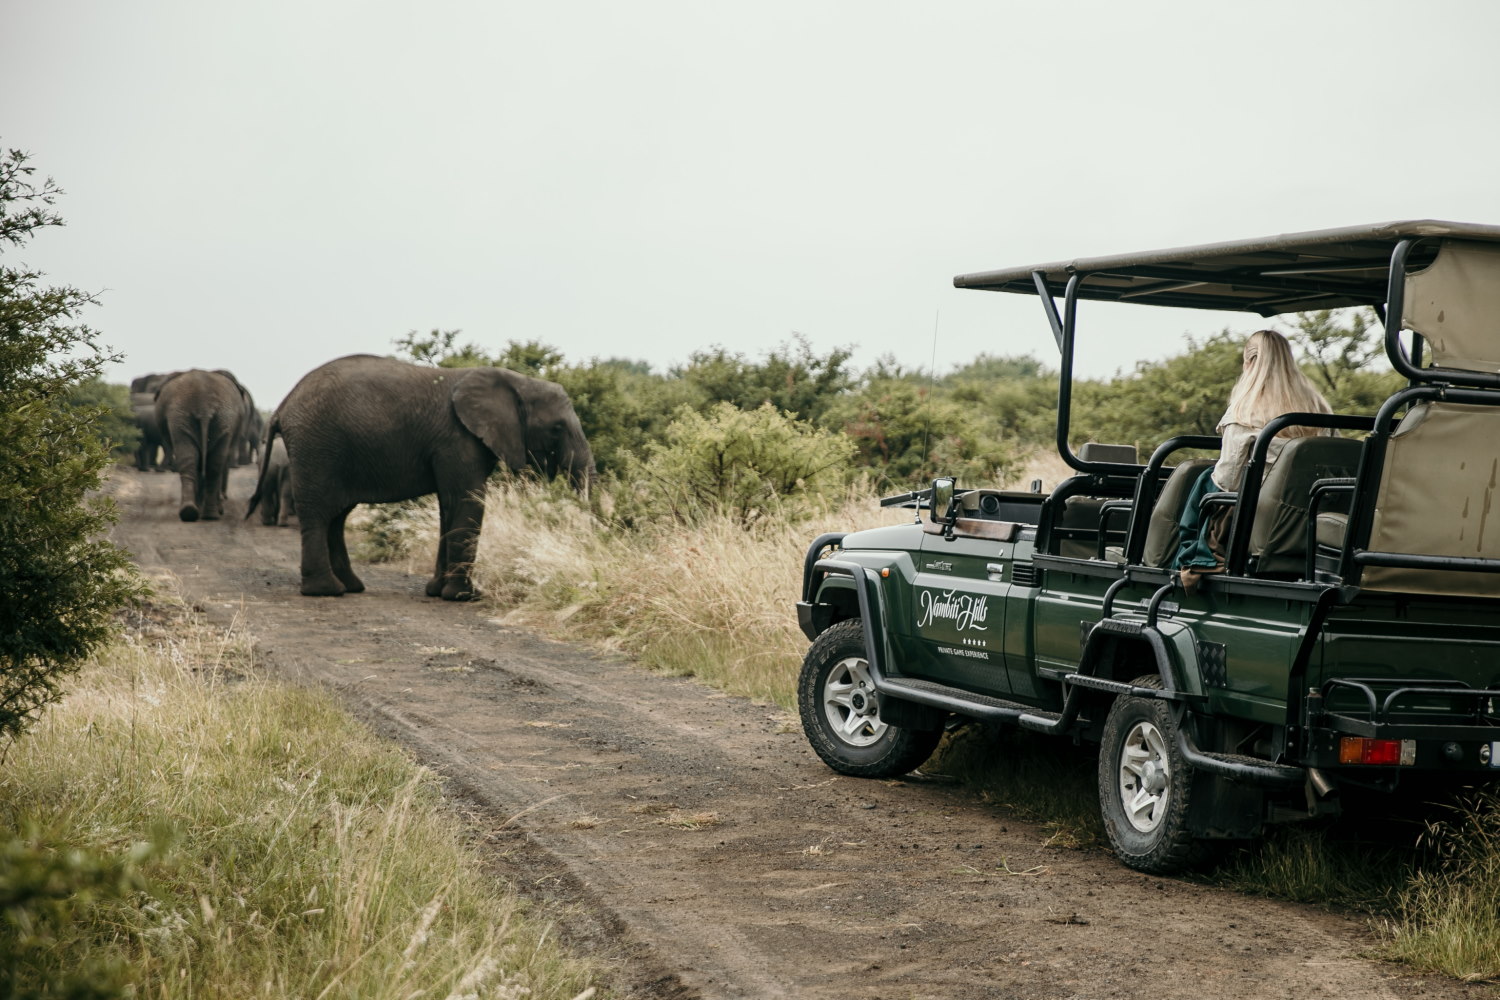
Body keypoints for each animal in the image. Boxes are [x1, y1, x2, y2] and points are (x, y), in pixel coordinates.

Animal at [155, 370, 246, 524]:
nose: (225, 497)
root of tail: (205, 405)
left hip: (187, 416)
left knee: (193, 459)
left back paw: (195, 513)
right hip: (212, 417)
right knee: (211, 463)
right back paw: (203, 514)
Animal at [249, 353, 594, 599]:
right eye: (557, 428)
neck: (516, 380)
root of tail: (283, 405)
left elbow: (449, 505)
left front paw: (437, 592)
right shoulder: (457, 438)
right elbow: (469, 501)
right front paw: (464, 597)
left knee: (337, 516)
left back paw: (350, 587)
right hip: (317, 447)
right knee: (321, 513)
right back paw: (326, 592)